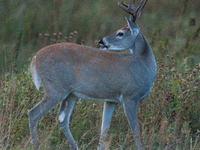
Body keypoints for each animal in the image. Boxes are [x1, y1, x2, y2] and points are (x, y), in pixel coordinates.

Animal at [28, 0, 156, 149]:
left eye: (120, 33)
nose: (101, 41)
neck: (144, 63)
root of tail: (35, 57)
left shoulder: (111, 100)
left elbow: (104, 129)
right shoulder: (130, 96)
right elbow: (136, 130)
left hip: (70, 93)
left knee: (62, 119)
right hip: (54, 88)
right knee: (34, 113)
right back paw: (35, 144)